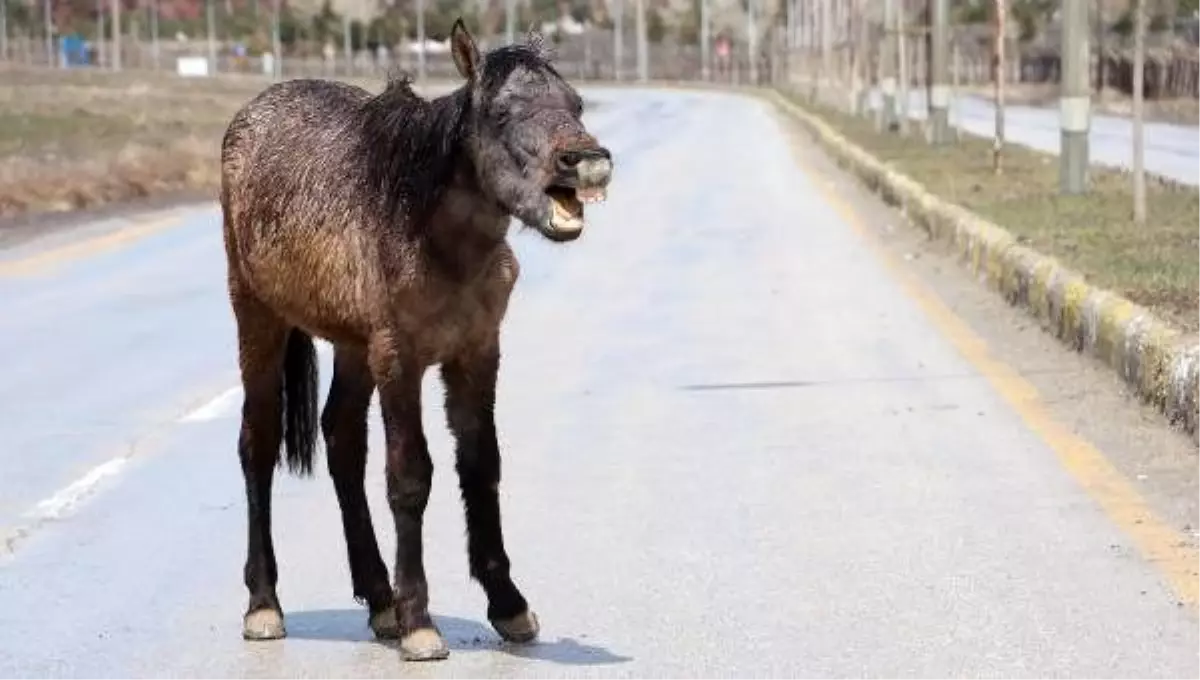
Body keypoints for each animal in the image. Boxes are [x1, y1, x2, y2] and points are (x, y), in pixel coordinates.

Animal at [217, 18, 614, 662]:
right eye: (501, 112)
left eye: (575, 103)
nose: (588, 162)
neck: (428, 230)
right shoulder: (399, 361)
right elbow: (409, 478)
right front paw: (420, 623)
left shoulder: (475, 354)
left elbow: (480, 465)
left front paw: (508, 606)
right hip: (258, 319)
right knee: (258, 443)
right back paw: (264, 605)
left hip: (351, 347)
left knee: (341, 440)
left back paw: (380, 600)